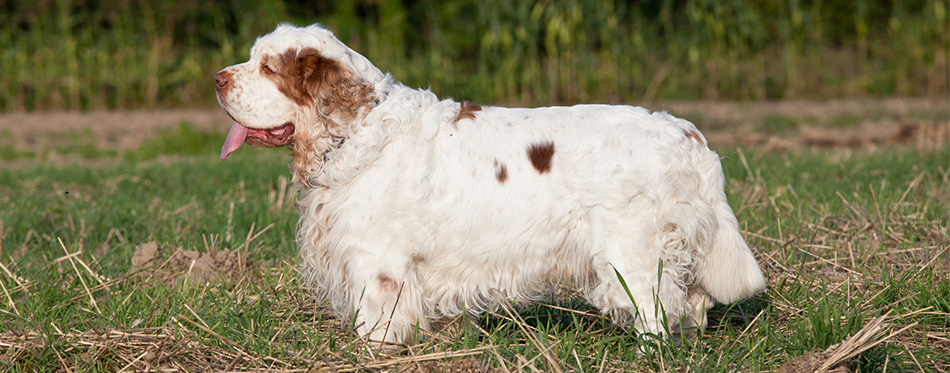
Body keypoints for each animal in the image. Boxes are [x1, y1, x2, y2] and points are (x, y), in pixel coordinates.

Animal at [214, 23, 768, 342]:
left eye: (268, 68)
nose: (217, 79)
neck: (358, 131)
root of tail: (688, 134)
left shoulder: (378, 265)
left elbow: (376, 327)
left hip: (631, 254)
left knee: (657, 312)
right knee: (691, 304)